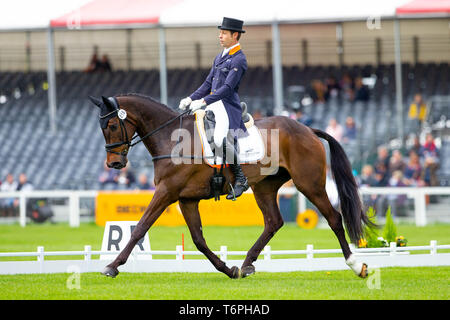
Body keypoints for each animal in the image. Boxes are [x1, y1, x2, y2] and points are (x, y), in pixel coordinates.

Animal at [89, 94, 372, 278]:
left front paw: (112, 266)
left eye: (112, 125)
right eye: (101, 127)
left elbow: (140, 228)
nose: (114, 163)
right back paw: (246, 264)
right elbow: (198, 239)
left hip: (309, 184)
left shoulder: (166, 192)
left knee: (334, 218)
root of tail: (308, 130)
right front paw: (228, 269)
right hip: (265, 187)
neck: (172, 138)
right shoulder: (186, 199)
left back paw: (356, 265)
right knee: (273, 222)